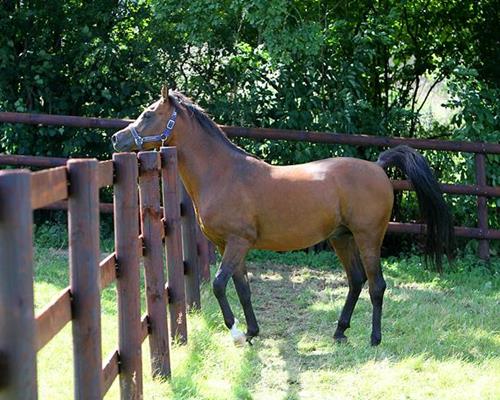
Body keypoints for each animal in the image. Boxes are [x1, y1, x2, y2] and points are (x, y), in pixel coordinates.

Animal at [111, 86, 456, 346]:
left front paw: (237, 333)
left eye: (148, 114)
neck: (224, 174)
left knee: (376, 285)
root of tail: (378, 166)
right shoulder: (229, 246)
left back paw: (374, 338)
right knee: (356, 280)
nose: (117, 139)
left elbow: (220, 285)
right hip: (341, 238)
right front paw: (252, 332)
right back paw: (339, 331)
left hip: (368, 237)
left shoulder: (237, 242)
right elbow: (242, 288)